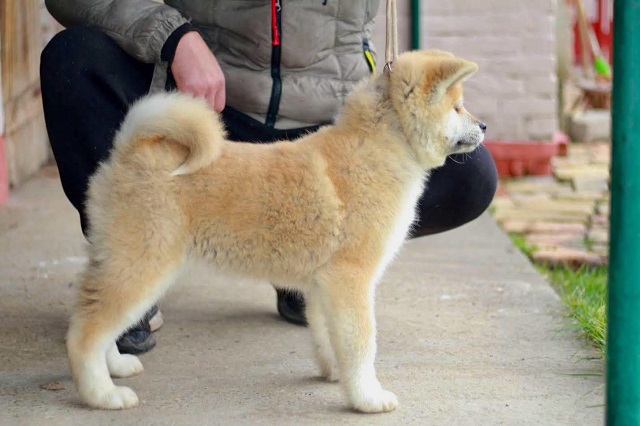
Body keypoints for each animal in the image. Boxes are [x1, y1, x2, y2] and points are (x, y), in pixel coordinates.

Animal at [66, 49, 484, 412]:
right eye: (457, 107)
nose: (483, 125)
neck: (378, 150)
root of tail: (129, 149)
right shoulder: (351, 279)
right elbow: (362, 346)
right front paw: (368, 397)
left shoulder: (325, 285)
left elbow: (330, 337)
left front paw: (337, 375)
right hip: (141, 267)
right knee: (84, 334)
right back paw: (103, 394)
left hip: (121, 263)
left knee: (96, 321)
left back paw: (117, 365)